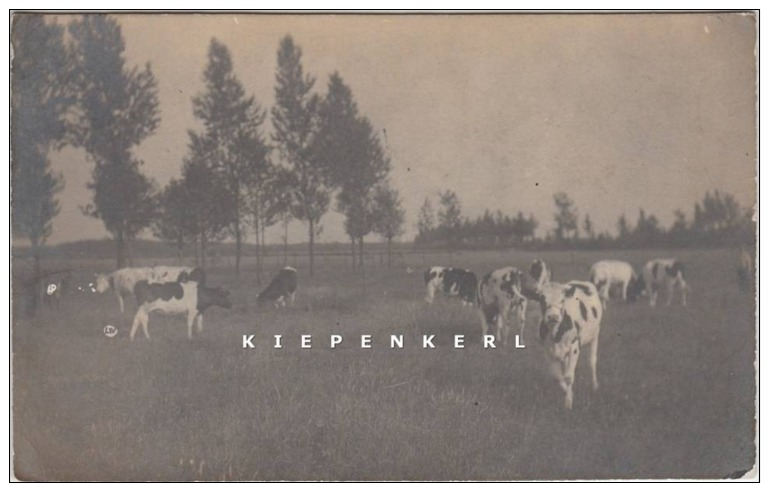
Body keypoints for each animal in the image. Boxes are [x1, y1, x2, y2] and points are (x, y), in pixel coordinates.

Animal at [536, 282, 604, 410]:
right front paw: (570, 393)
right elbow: (558, 376)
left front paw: (568, 403)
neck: (556, 335)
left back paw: (595, 386)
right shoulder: (547, 351)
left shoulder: (574, 347)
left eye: (562, 300)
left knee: (592, 361)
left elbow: (568, 377)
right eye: (542, 299)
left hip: (595, 335)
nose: (553, 317)